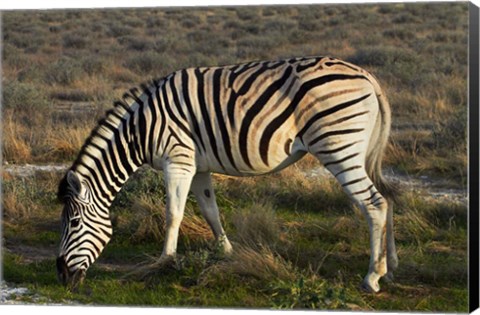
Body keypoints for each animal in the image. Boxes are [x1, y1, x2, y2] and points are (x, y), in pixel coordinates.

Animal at [55, 56, 398, 294]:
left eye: (74, 223)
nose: (61, 276)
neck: (139, 130)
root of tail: (368, 77)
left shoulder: (178, 159)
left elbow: (173, 214)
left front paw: (165, 262)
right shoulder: (198, 167)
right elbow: (211, 212)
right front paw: (227, 253)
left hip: (338, 146)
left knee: (375, 204)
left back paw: (372, 277)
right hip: (359, 149)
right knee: (387, 197)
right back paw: (390, 264)